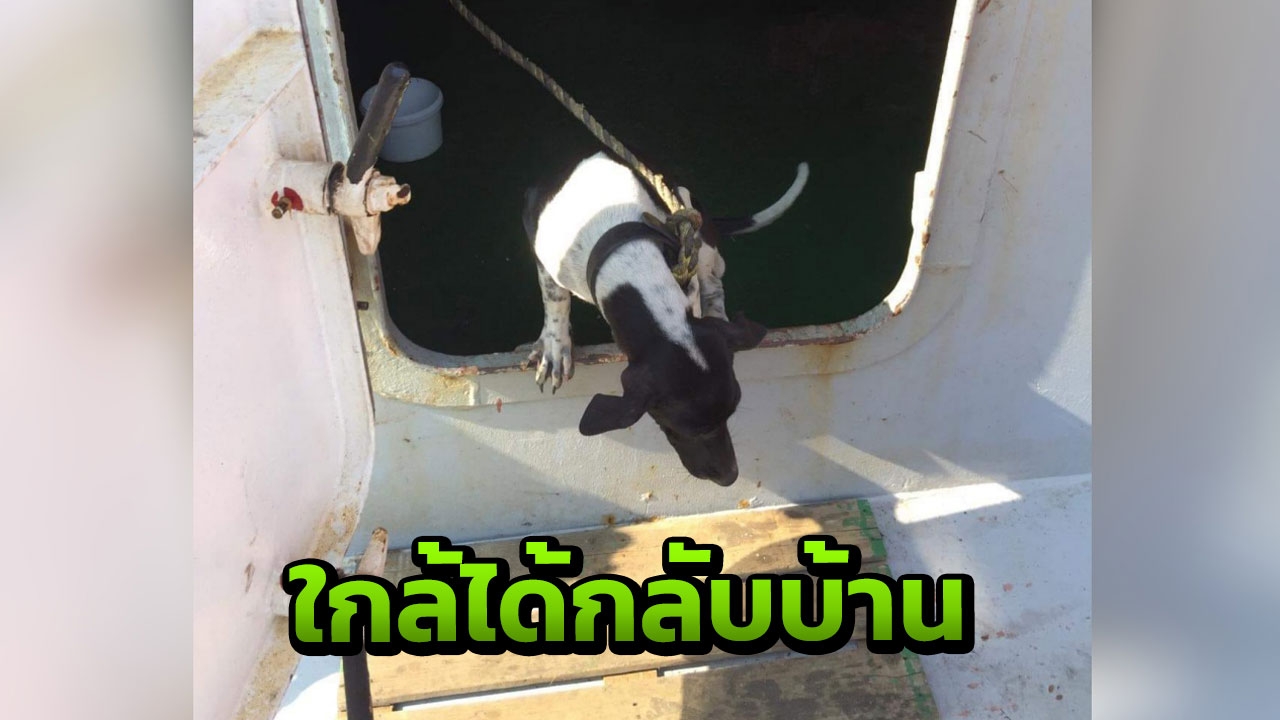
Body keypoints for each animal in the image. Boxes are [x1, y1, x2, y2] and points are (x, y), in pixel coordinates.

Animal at [522, 152, 809, 486]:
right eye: (682, 427)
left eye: (731, 412)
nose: (731, 477)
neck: (628, 257)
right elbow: (554, 296)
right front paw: (555, 346)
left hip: (697, 229)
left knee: (715, 281)